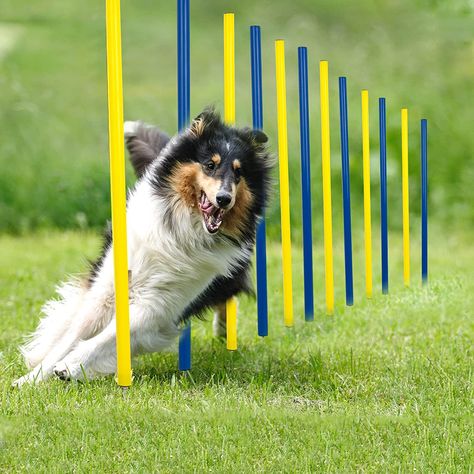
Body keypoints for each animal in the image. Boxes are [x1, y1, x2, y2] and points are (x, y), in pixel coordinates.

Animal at [12, 109, 272, 386]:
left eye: (238, 172)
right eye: (210, 165)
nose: (224, 199)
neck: (181, 231)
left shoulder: (158, 305)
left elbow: (109, 336)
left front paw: (69, 367)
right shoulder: (108, 289)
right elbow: (74, 334)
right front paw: (30, 379)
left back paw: (223, 331)